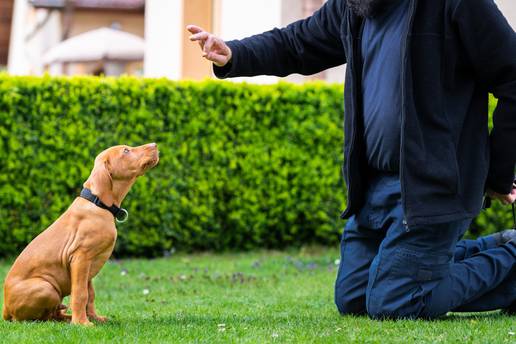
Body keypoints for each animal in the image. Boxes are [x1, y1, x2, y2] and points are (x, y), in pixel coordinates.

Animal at [2, 142, 158, 326]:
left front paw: (94, 318)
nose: (155, 144)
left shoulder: (90, 264)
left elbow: (90, 294)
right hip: (46, 288)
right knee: (36, 319)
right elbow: (80, 293)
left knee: (53, 314)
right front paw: (82, 323)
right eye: (126, 151)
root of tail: (5, 309)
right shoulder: (80, 258)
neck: (98, 203)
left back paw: (66, 317)